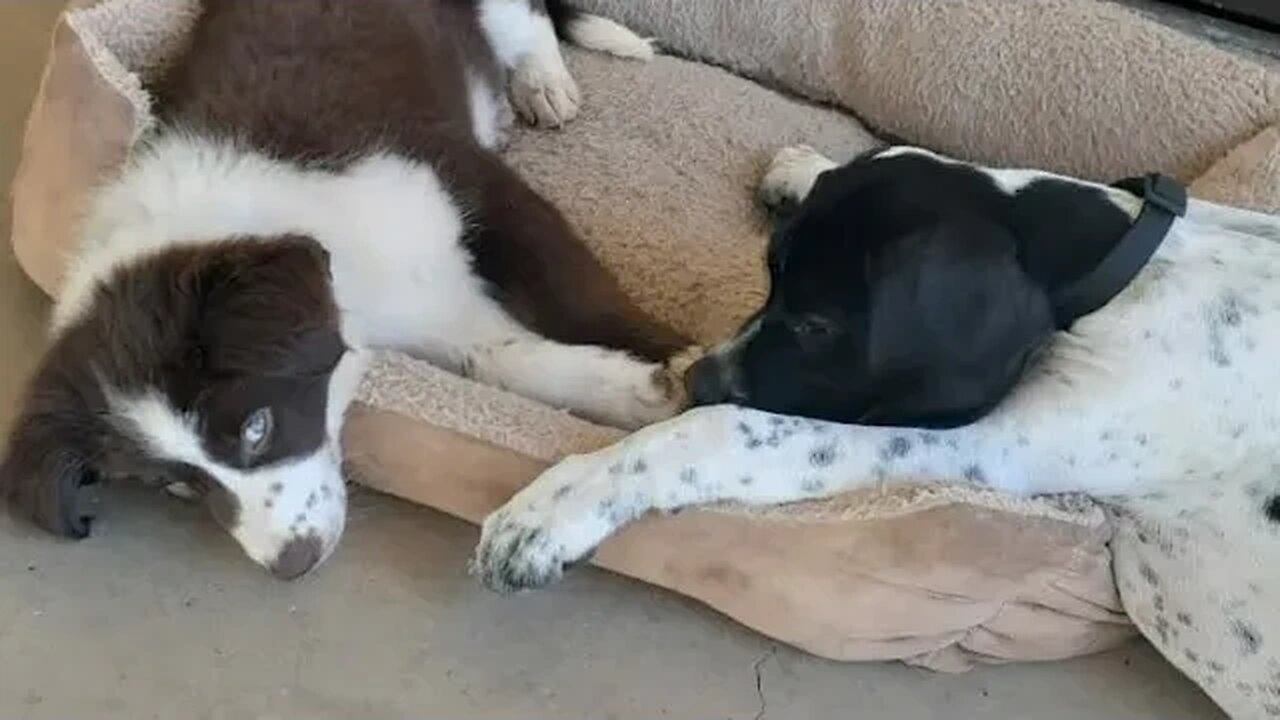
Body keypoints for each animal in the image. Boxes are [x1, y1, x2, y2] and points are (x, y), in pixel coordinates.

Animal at [476, 140, 1280, 594]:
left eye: (818, 326)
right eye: (769, 277)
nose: (700, 381)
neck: (1129, 269)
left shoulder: (982, 448)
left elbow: (720, 435)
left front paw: (556, 507)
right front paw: (810, 167)